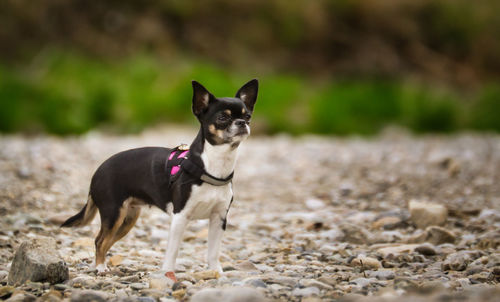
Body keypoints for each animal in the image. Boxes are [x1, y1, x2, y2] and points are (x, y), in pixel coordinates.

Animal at [62, 79, 258, 282]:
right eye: (222, 118)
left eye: (248, 116)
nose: (242, 123)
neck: (213, 166)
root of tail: (98, 171)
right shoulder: (180, 217)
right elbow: (172, 251)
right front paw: (168, 275)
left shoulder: (218, 219)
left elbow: (213, 251)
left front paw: (217, 273)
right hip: (114, 214)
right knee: (100, 240)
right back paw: (101, 268)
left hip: (126, 220)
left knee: (106, 241)